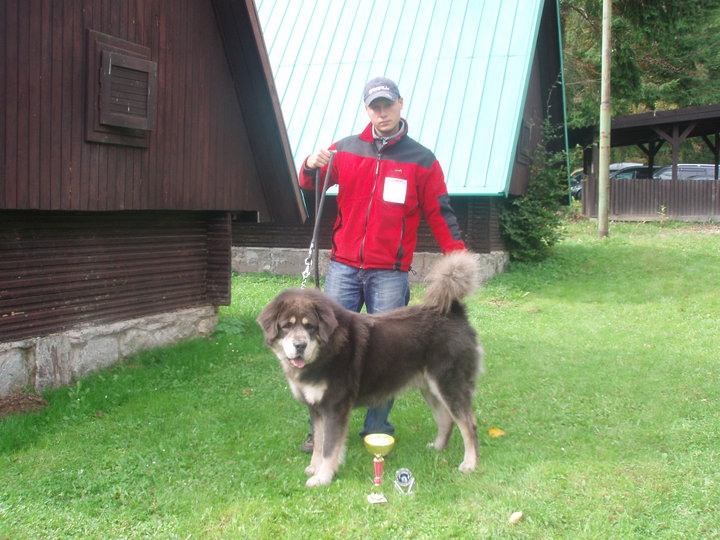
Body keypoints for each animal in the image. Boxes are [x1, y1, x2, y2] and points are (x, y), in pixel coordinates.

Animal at [256, 251, 486, 488]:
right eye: (287, 326)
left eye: (310, 326)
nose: (300, 345)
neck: (327, 350)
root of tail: (454, 311)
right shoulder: (316, 408)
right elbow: (319, 444)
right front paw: (314, 467)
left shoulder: (335, 407)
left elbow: (329, 448)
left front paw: (323, 477)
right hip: (430, 389)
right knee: (446, 420)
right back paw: (438, 448)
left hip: (450, 386)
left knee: (469, 426)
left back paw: (469, 463)